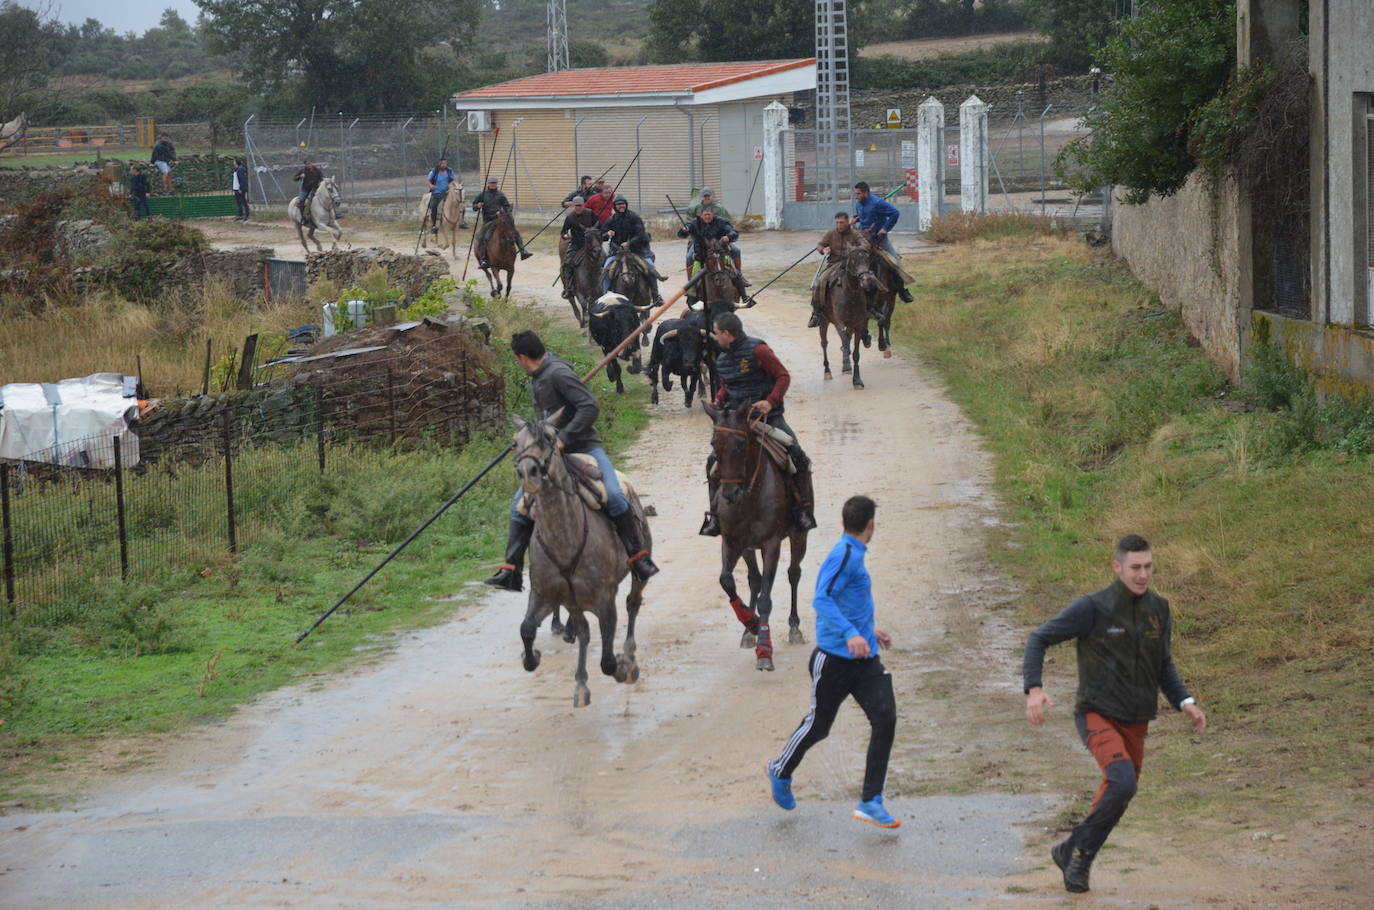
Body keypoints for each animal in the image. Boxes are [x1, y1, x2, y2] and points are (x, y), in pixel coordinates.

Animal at [513, 417, 651, 709]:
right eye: (514, 442)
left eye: (549, 438)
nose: (528, 473)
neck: (564, 536)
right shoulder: (546, 594)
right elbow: (527, 629)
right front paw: (532, 657)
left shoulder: (605, 600)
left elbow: (608, 662)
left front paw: (623, 668)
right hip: (573, 602)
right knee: (584, 631)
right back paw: (580, 684)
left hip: (639, 573)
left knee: (633, 604)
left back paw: (629, 656)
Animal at [703, 398, 807, 670]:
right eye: (714, 443)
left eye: (741, 443)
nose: (729, 494)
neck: (749, 495)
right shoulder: (731, 542)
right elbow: (727, 581)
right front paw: (750, 622)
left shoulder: (771, 544)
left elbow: (766, 599)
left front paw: (764, 649)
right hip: (748, 548)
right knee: (754, 579)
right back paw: (748, 632)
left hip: (798, 536)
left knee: (794, 574)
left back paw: (794, 627)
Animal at [813, 241, 879, 387]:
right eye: (853, 260)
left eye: (867, 259)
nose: (867, 280)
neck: (850, 294)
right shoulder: (840, 323)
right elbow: (845, 343)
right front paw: (847, 366)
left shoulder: (858, 325)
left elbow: (855, 353)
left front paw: (857, 380)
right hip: (824, 321)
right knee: (824, 343)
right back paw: (827, 371)